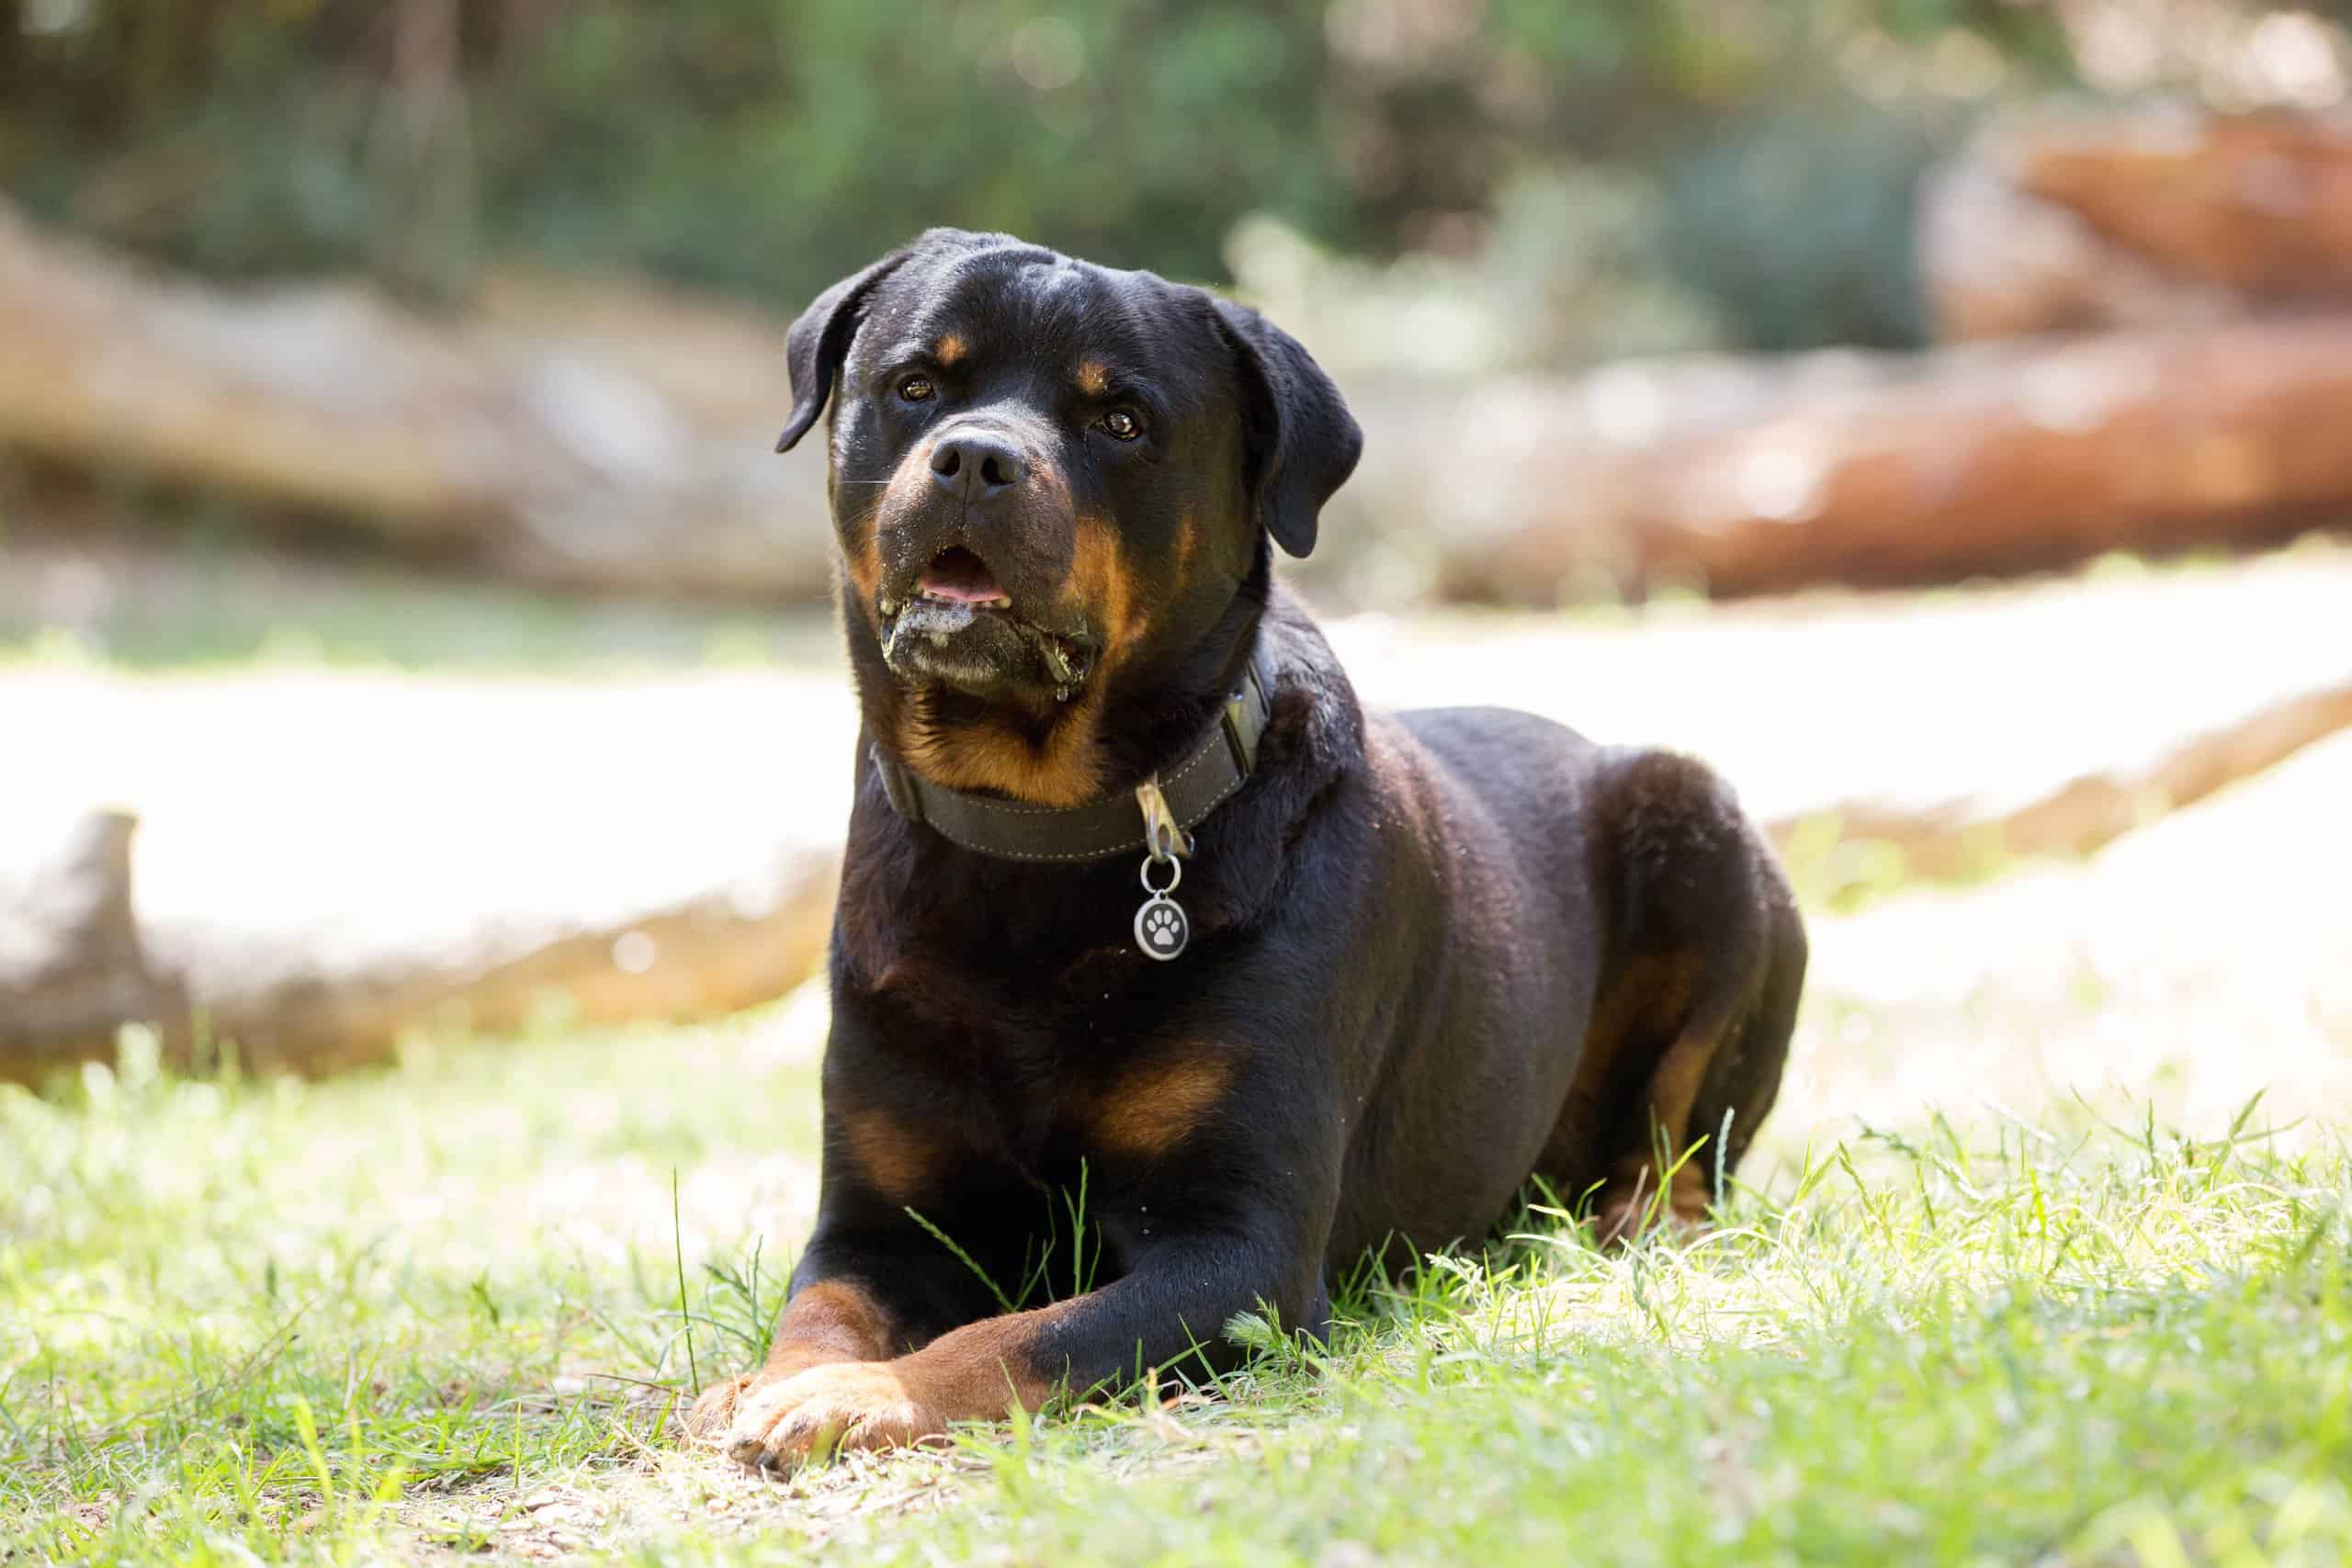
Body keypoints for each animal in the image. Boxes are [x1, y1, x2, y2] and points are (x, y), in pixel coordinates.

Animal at [682, 230, 1796, 1476]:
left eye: (1121, 421)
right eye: (917, 385)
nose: (973, 459)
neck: (1034, 847)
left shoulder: (1238, 1252)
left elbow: (1022, 1336)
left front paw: (862, 1393)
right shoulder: (877, 1218)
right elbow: (821, 1305)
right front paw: (773, 1382)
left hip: (1701, 831)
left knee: (1684, 1149)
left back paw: (1633, 1224)